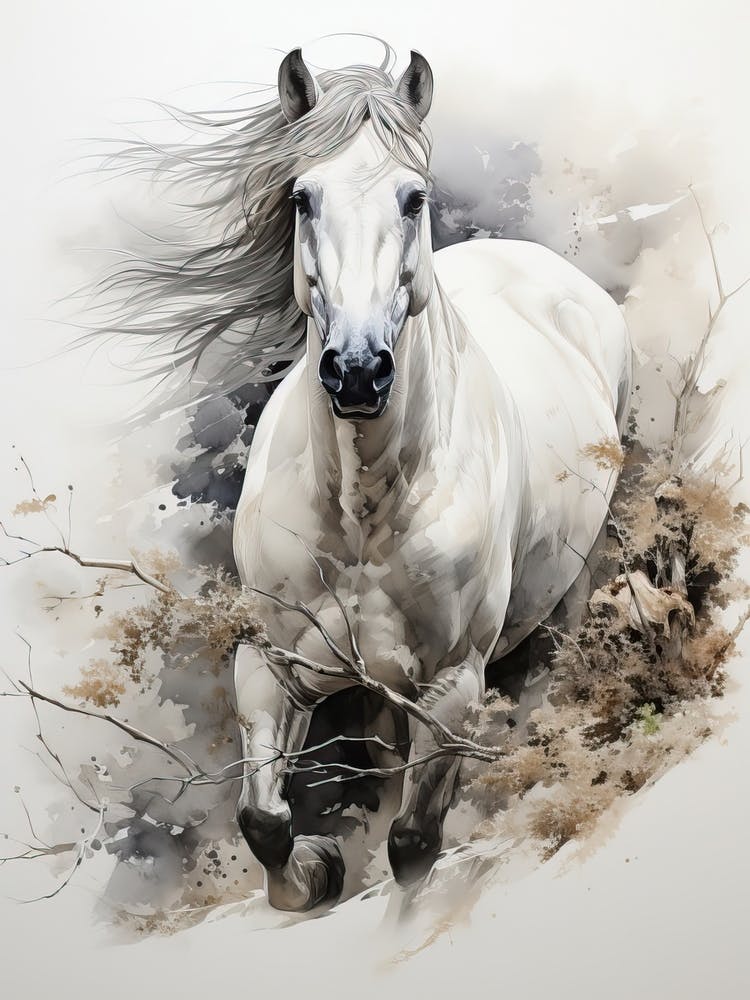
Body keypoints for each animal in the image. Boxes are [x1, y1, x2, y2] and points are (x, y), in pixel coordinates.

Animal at [227, 48, 632, 912]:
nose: (356, 371)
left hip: (569, 591)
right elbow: (263, 822)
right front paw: (314, 871)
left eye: (412, 198)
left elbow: (414, 846)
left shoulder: (452, 688)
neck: (362, 512)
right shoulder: (270, 666)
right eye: (301, 197)